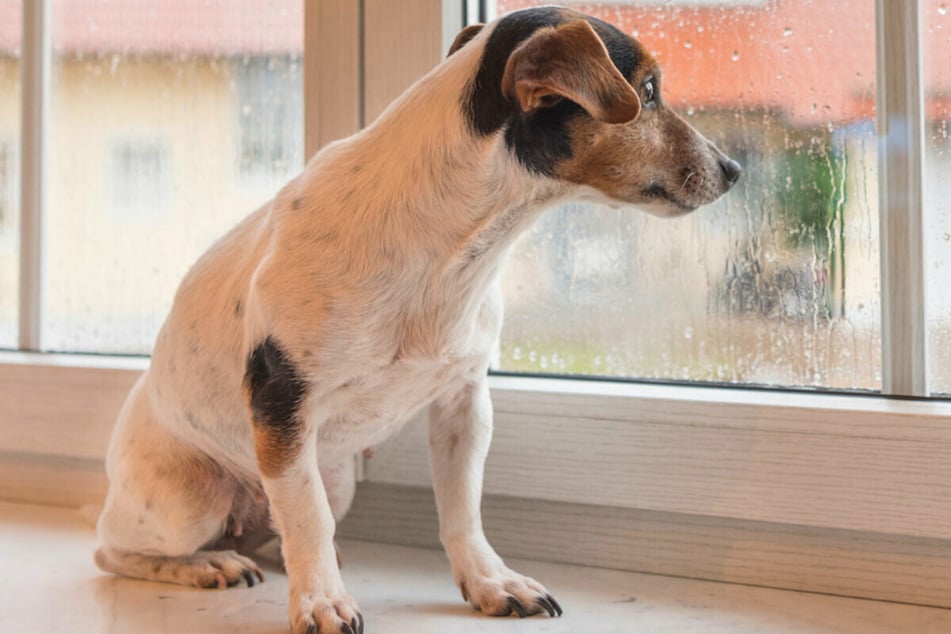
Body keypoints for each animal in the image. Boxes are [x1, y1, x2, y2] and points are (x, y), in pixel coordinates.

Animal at [93, 6, 740, 632]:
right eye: (648, 91)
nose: (734, 169)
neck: (451, 246)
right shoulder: (283, 406)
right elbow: (309, 521)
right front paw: (321, 601)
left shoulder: (463, 403)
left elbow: (461, 509)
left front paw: (490, 582)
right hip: (190, 498)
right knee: (117, 549)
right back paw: (210, 564)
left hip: (335, 476)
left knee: (282, 529)